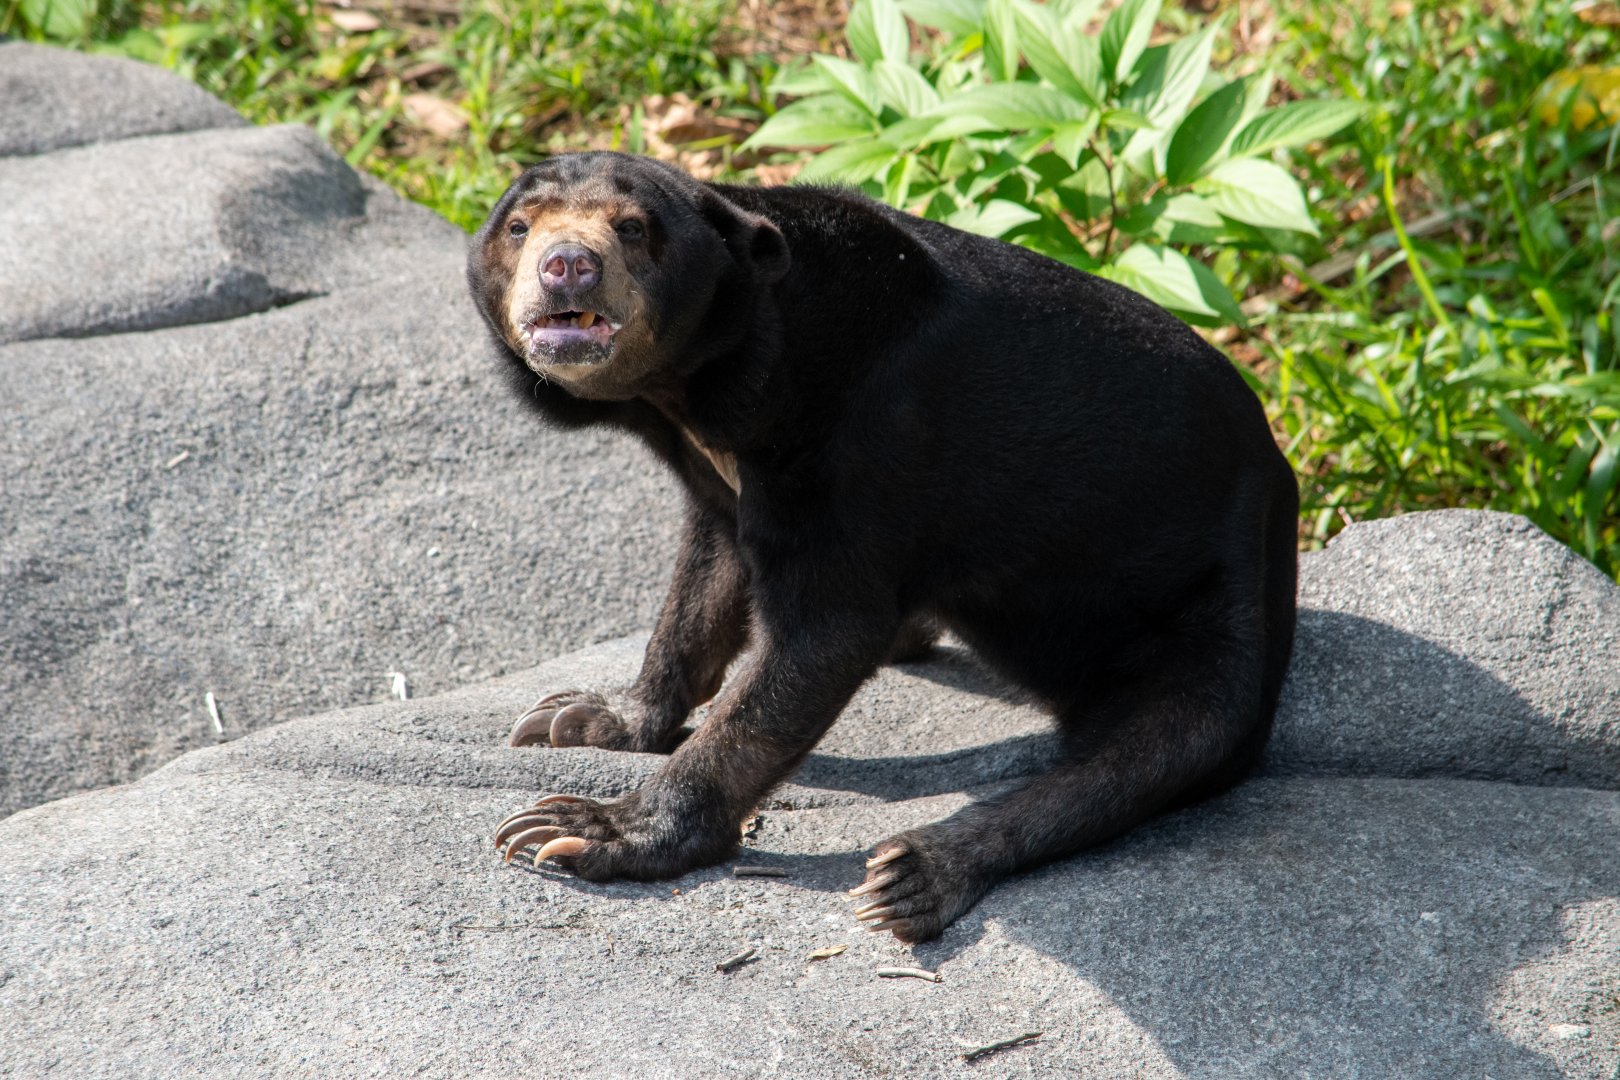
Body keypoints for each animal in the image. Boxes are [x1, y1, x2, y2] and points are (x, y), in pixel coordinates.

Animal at [466, 151, 1298, 943]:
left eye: (634, 228)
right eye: (520, 227)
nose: (567, 265)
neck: (708, 389)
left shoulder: (861, 443)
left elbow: (823, 637)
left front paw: (583, 828)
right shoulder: (725, 471)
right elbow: (705, 584)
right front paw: (585, 715)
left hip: (1218, 606)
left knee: (1161, 745)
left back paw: (918, 873)